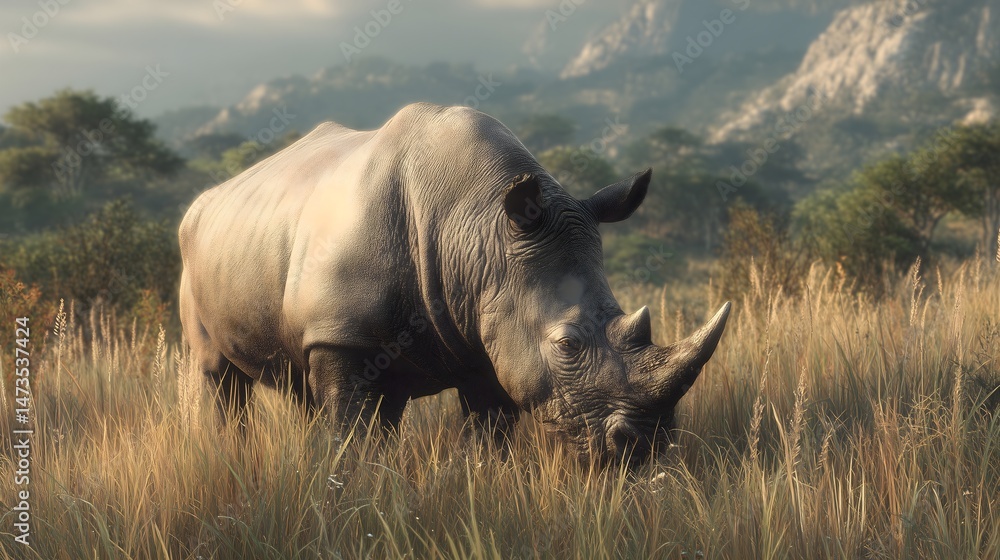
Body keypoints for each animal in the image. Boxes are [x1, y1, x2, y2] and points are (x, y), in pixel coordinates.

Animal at [179, 103, 730, 463]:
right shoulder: (340, 333)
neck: (480, 230)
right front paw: (352, 493)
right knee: (220, 376)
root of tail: (204, 201)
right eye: (567, 344)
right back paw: (229, 455)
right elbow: (352, 433)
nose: (646, 446)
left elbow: (490, 432)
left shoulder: (486, 333)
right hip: (193, 253)